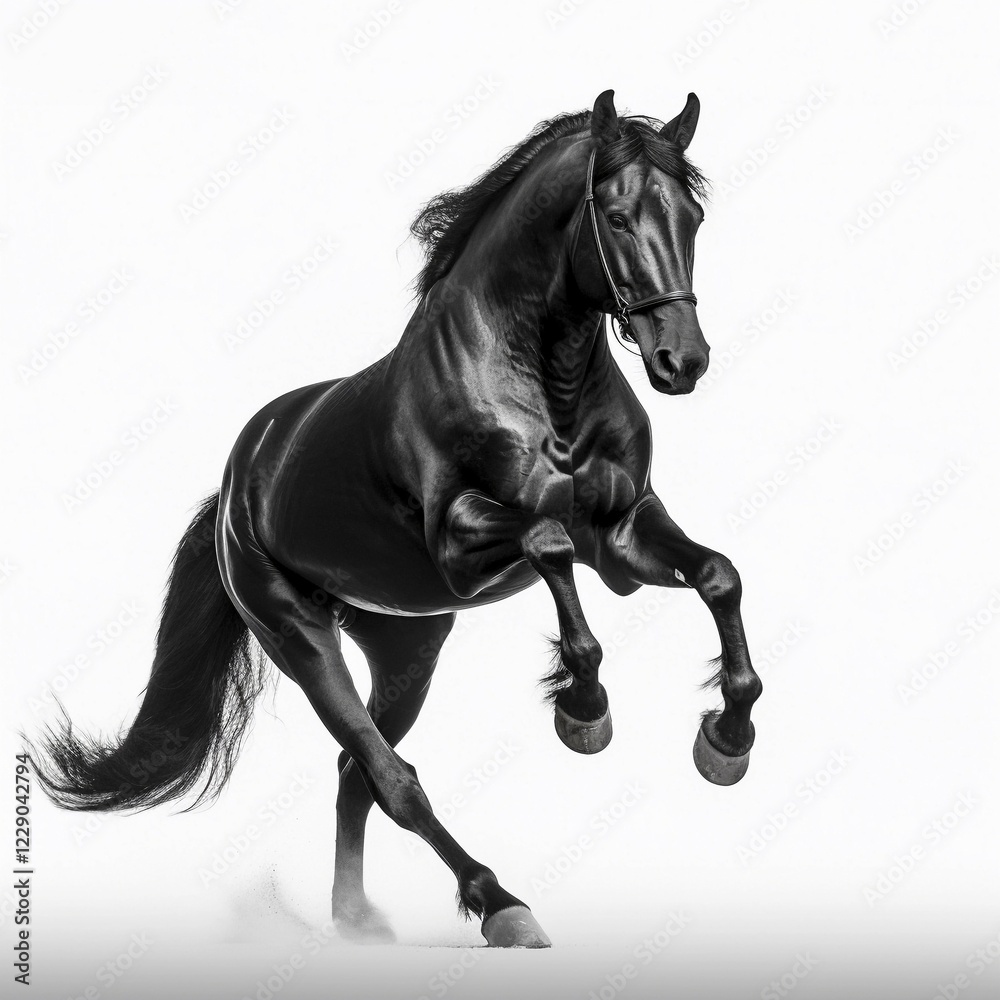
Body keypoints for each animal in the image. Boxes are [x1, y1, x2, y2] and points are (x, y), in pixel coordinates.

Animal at [28, 90, 762, 948]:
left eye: (694, 216)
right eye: (615, 216)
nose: (683, 362)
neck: (548, 387)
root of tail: (239, 482)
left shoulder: (620, 538)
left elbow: (717, 574)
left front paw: (726, 740)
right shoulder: (462, 545)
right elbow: (548, 544)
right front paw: (584, 711)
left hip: (408, 646)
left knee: (359, 776)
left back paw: (358, 922)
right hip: (298, 634)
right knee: (390, 777)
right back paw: (501, 905)